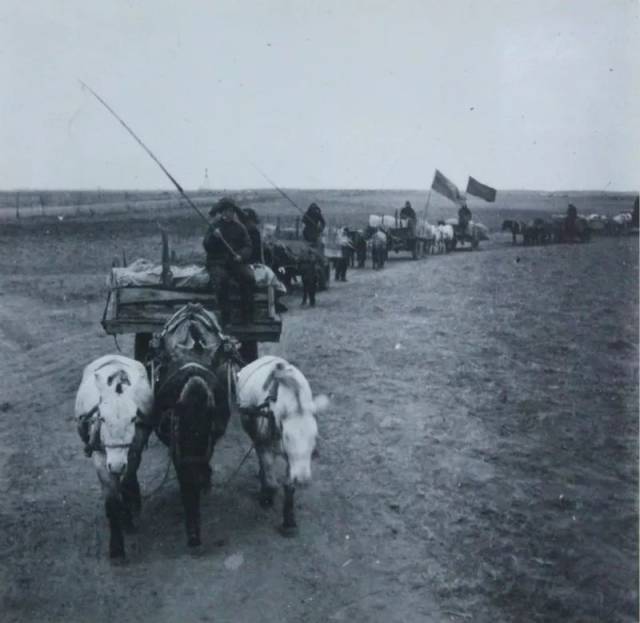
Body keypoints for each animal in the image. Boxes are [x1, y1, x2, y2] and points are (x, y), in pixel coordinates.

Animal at [74, 356, 154, 560]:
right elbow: (112, 501)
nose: (117, 466)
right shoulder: (101, 459)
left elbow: (126, 483)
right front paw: (116, 548)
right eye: (102, 419)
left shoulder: (133, 453)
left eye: (133, 419)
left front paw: (128, 518)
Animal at [150, 304, 242, 548]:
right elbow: (183, 473)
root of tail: (191, 307)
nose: (194, 539)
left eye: (205, 431)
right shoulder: (174, 443)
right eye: (179, 430)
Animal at [236, 356, 330, 536]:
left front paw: (289, 521)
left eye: (315, 437)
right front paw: (266, 498)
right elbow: (271, 480)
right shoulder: (265, 445)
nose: (303, 480)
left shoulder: (291, 461)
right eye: (287, 436)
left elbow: (289, 486)